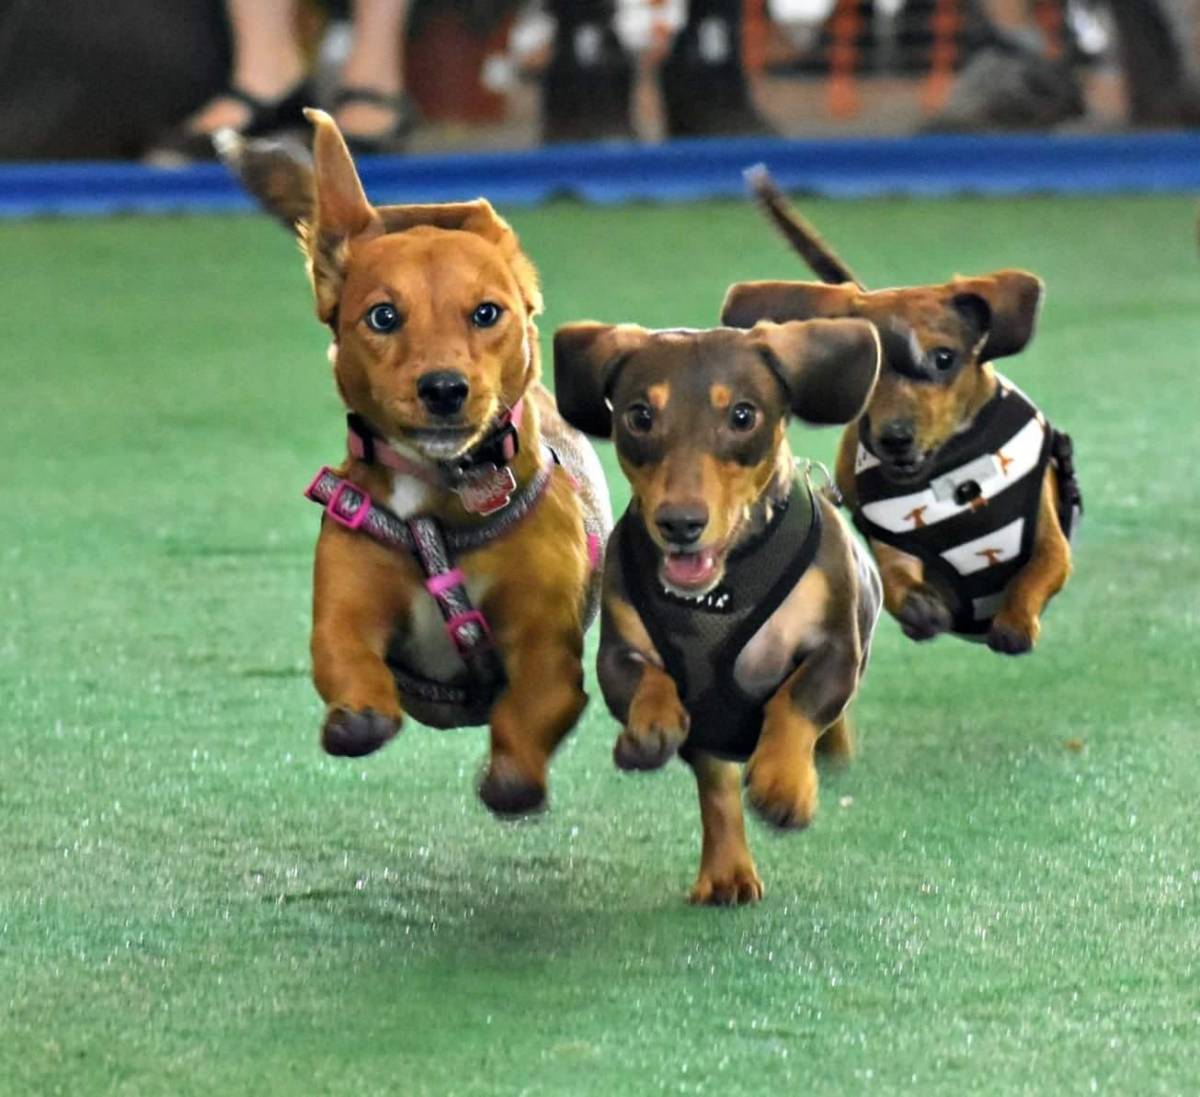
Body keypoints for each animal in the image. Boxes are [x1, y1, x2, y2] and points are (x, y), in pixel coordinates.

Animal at [223, 113, 609, 811]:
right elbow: (349, 663)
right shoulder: (345, 615)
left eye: (487, 313)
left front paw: (512, 778)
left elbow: (530, 707)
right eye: (383, 316)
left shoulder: (547, 648)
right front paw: (359, 719)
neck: (438, 502)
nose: (444, 388)